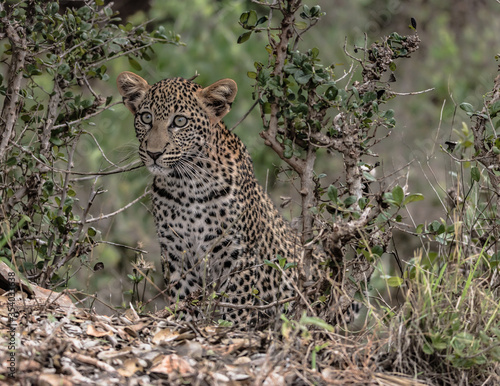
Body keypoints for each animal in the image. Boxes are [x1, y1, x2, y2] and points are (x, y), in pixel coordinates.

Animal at [115, 71, 330, 324]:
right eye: (146, 117)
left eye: (180, 121)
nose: (154, 153)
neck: (186, 186)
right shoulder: (176, 255)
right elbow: (183, 300)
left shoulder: (239, 255)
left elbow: (237, 304)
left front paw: (232, 325)